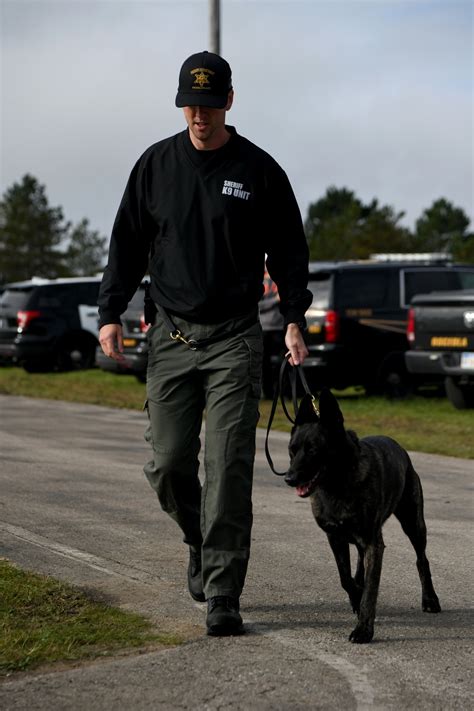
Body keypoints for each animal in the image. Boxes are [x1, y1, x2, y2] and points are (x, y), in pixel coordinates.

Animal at [284, 390, 442, 644]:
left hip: (413, 524)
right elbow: (345, 578)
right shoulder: (336, 539)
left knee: (422, 559)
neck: (337, 483)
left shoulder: (373, 544)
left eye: (313, 450)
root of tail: (398, 446)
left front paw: (363, 629)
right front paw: (356, 597)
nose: (289, 479)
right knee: (358, 566)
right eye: (292, 449)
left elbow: (370, 590)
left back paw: (430, 599)